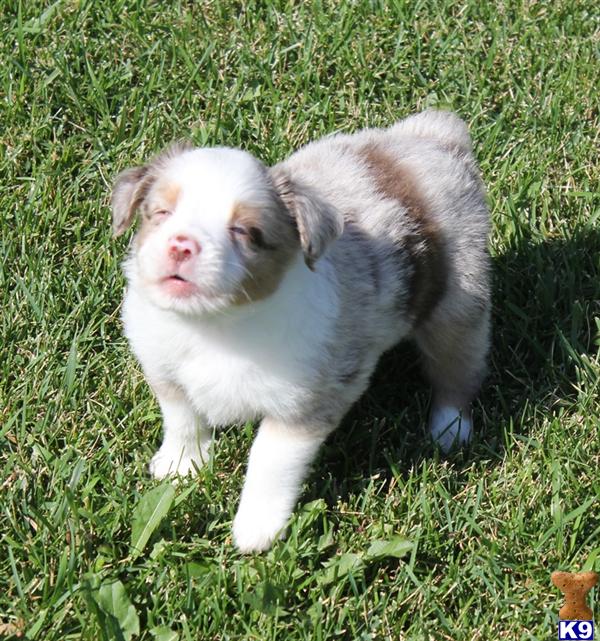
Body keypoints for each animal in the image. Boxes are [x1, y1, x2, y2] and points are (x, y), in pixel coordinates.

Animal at [110, 109, 490, 552]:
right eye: (161, 214)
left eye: (244, 232)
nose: (180, 245)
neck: (215, 325)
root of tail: (434, 136)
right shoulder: (163, 366)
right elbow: (183, 418)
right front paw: (180, 466)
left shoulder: (305, 403)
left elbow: (269, 462)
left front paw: (255, 531)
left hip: (460, 304)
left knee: (456, 371)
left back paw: (449, 431)